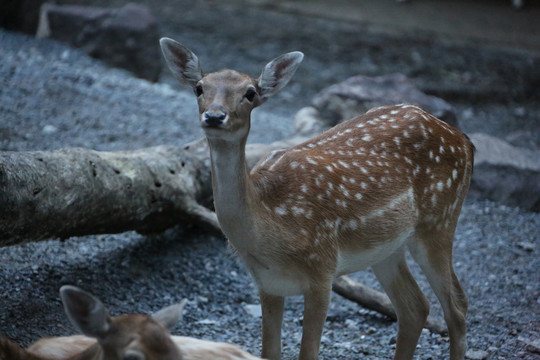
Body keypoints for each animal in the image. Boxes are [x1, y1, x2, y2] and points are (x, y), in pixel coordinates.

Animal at [159, 37, 472, 360]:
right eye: (199, 88)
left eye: (250, 92)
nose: (214, 116)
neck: (271, 225)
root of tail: (464, 139)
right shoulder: (267, 284)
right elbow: (269, 351)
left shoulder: (322, 269)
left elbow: (308, 352)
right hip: (388, 246)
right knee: (415, 306)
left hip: (440, 219)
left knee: (457, 306)